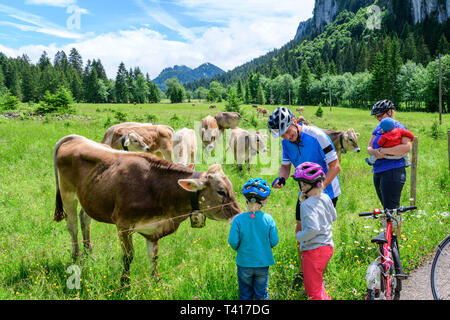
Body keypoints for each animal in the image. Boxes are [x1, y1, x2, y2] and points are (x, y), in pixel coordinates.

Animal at [53, 135, 243, 284]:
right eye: (221, 191)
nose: (239, 216)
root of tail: (75, 138)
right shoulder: (123, 225)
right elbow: (128, 256)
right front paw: (125, 283)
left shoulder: (154, 229)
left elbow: (154, 256)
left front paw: (156, 281)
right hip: (67, 194)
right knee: (72, 226)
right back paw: (77, 257)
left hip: (90, 198)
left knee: (85, 220)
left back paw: (90, 255)